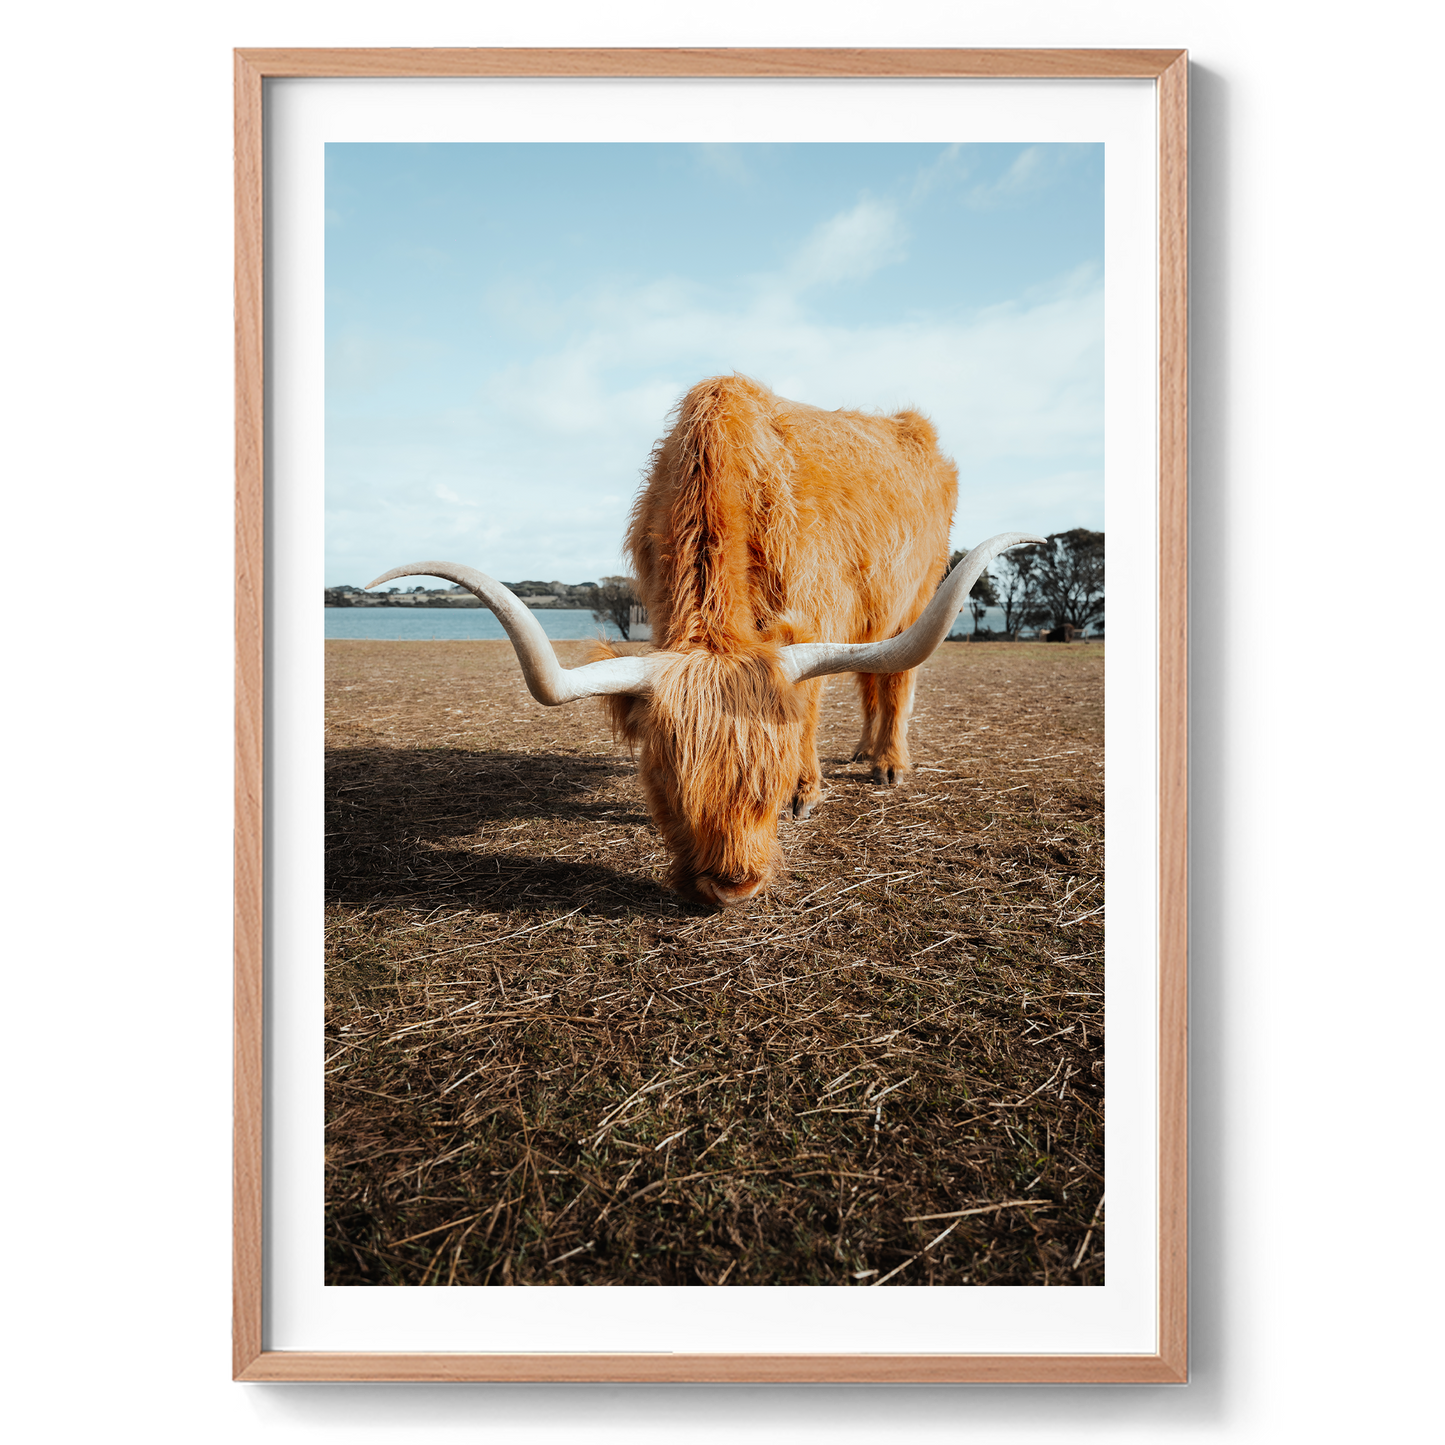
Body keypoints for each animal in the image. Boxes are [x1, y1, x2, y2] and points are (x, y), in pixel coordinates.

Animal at [367, 374, 1042, 909]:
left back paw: (887, 765)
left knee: (896, 679)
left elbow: (810, 712)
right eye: (666, 782)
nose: (732, 886)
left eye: (770, 782)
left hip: (918, 597)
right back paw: (862, 753)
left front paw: (807, 793)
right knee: (873, 680)